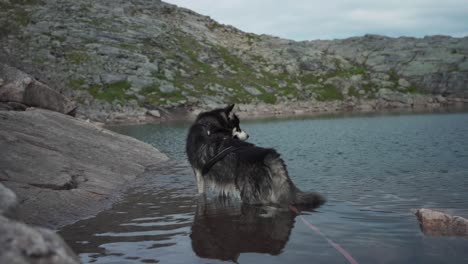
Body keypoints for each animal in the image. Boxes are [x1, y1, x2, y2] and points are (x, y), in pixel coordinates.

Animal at [186, 104, 326, 206]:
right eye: (238, 127)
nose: (248, 135)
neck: (209, 125)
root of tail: (267, 153)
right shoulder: (221, 179)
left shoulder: (198, 173)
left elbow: (202, 194)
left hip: (250, 194)